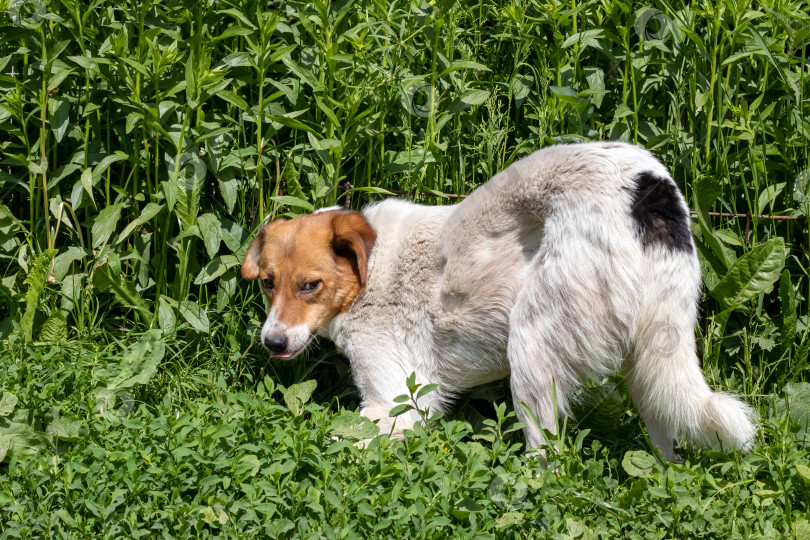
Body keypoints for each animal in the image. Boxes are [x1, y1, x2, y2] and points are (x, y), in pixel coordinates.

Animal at [241, 140, 756, 460]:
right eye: (267, 283)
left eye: (310, 285)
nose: (272, 343)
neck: (370, 269)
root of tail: (649, 189)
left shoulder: (395, 402)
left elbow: (341, 440)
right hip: (650, 360)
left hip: (531, 349)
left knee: (548, 460)